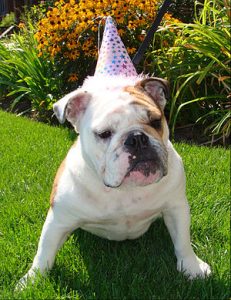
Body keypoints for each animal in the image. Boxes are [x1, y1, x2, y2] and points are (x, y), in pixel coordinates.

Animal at [16, 74, 211, 288]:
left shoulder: (176, 207)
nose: (137, 138)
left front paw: (192, 268)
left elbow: (183, 241)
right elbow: (44, 252)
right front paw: (31, 281)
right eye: (104, 134)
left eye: (156, 121)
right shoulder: (58, 220)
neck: (125, 190)